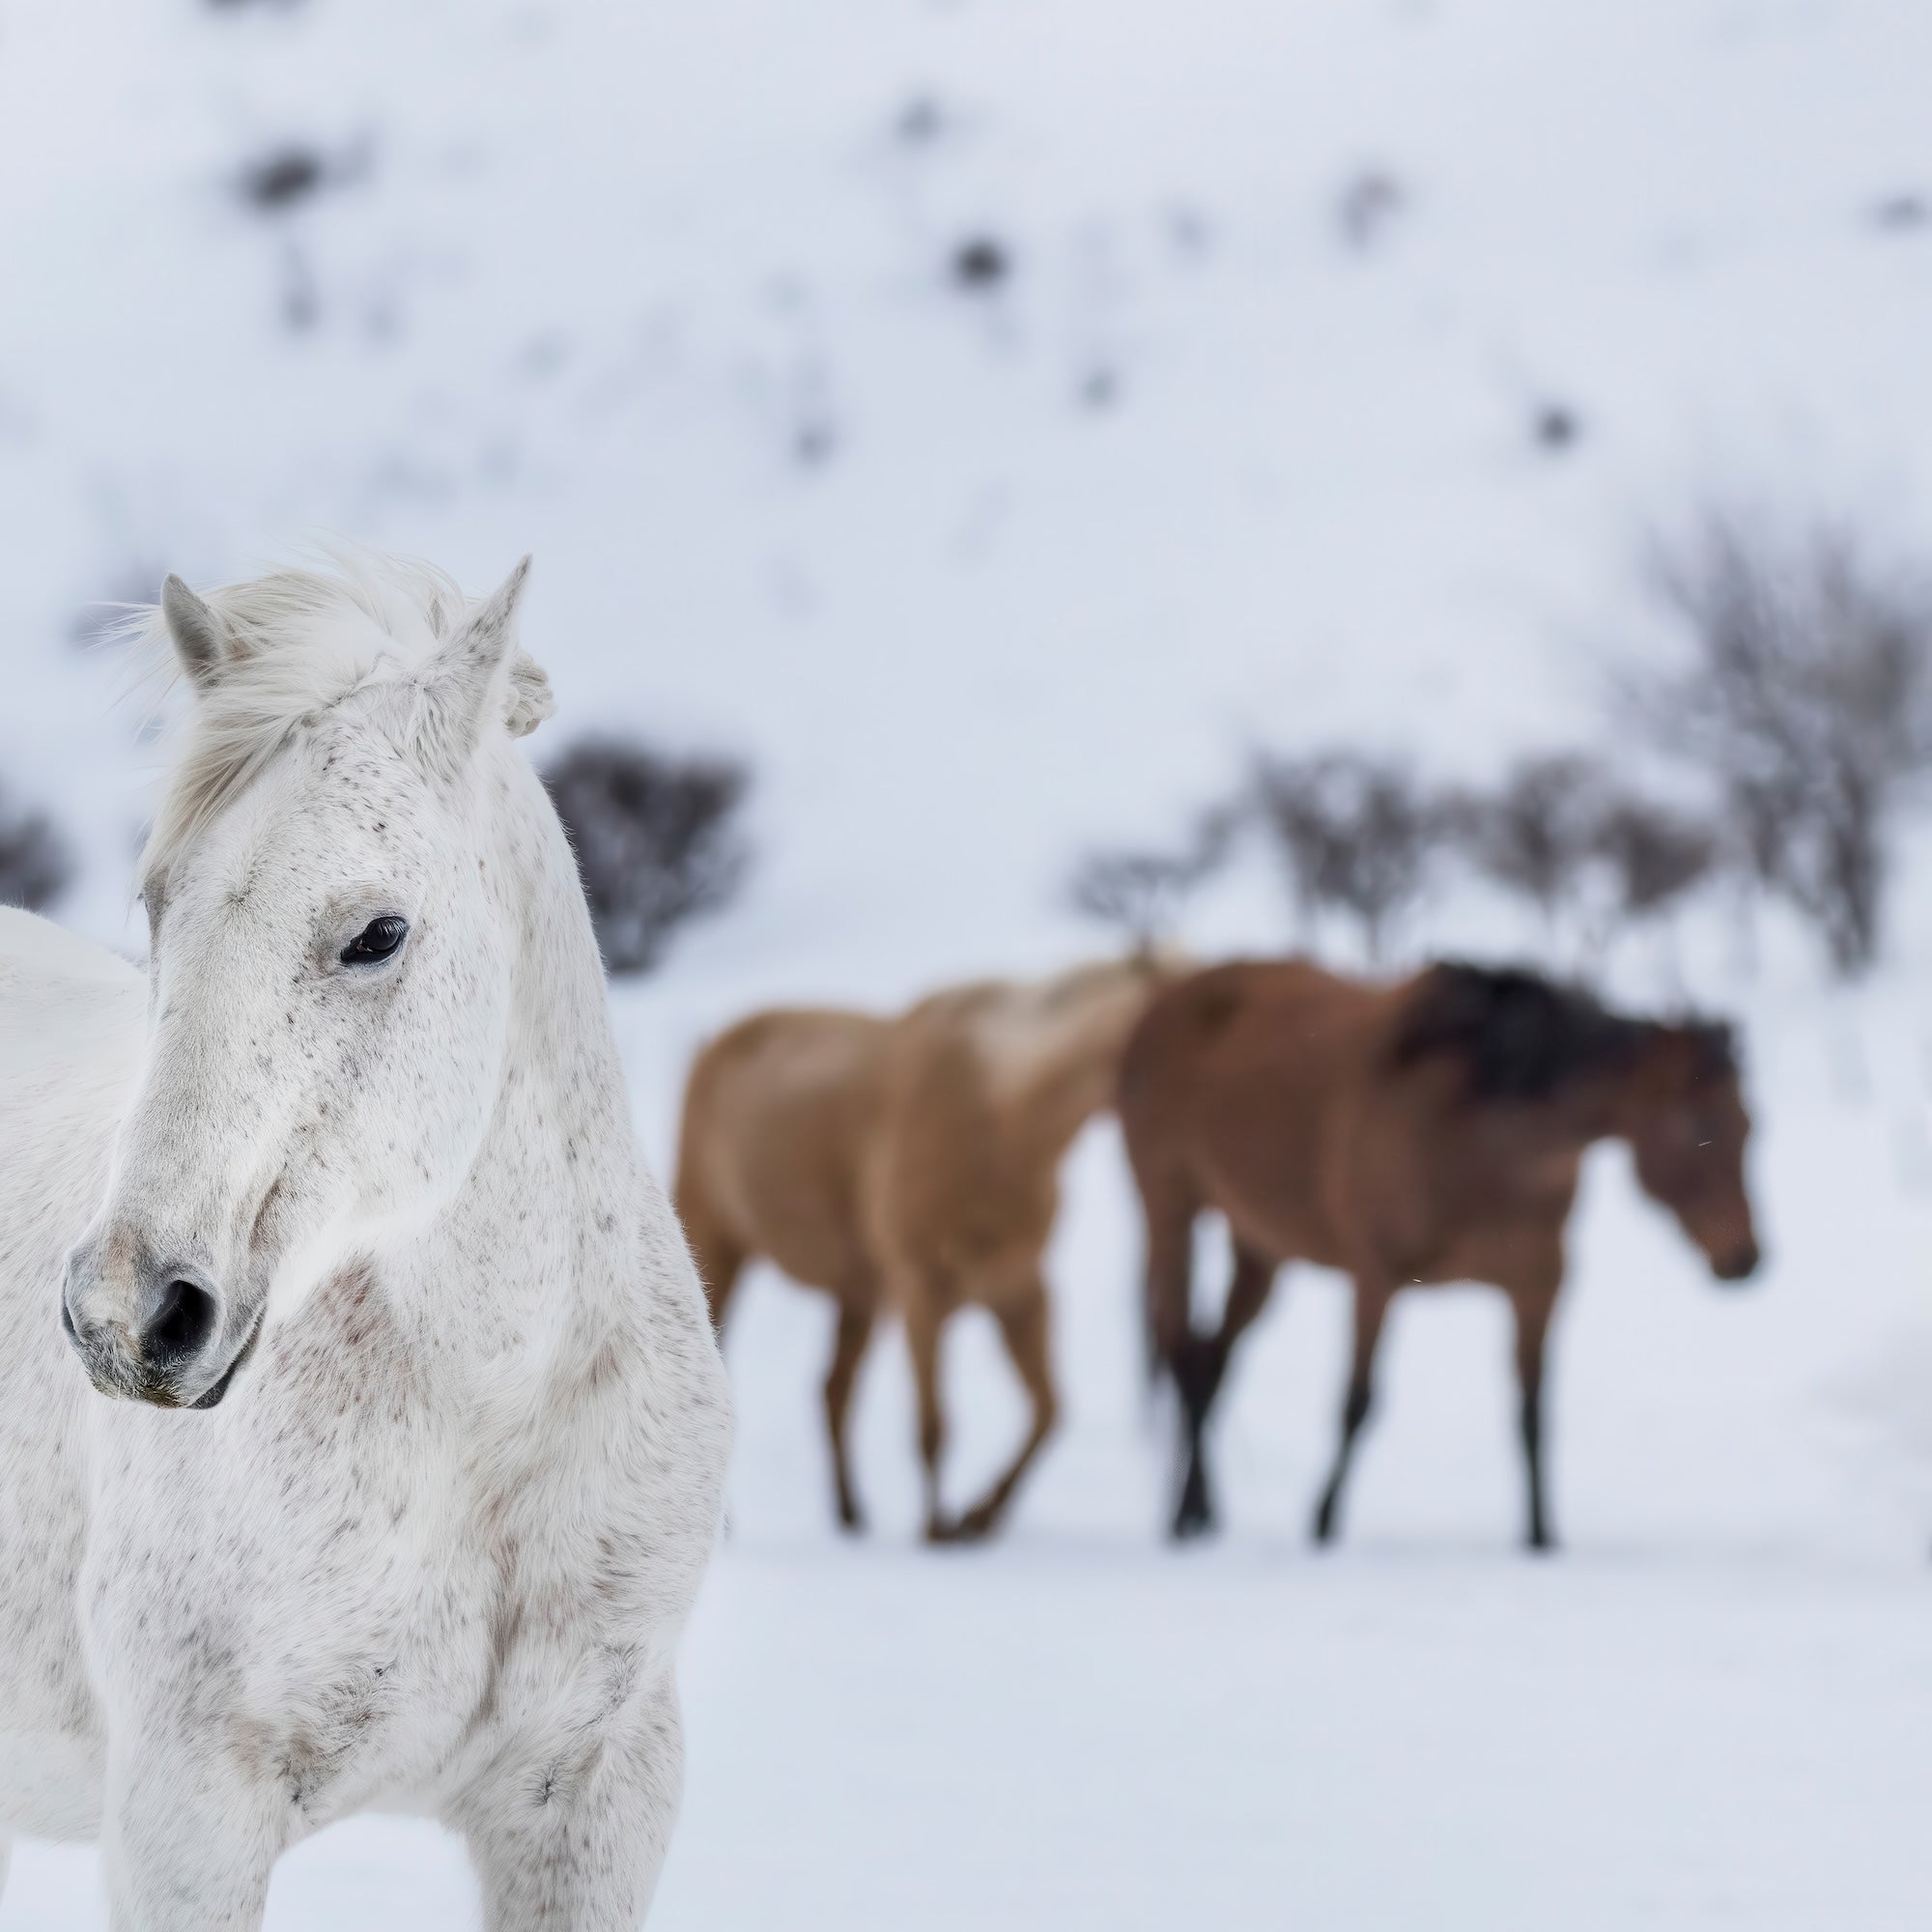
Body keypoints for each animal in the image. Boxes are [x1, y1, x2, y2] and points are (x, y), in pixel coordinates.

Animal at [0, 553, 730, 1927]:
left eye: (378, 932)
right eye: (158, 903)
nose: (127, 1314)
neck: (480, 1419)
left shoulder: (600, 1797)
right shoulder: (187, 1817)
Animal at [677, 956, 1171, 1542]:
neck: (999, 1123)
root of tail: (711, 1043)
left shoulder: (1020, 1293)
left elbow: (1049, 1411)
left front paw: (981, 1516)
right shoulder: (923, 1293)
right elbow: (934, 1426)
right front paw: (937, 1529)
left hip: (859, 1294)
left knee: (834, 1391)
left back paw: (850, 1513)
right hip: (716, 1246)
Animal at [1118, 958, 1760, 1550]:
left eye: (1750, 1125)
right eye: (1694, 1124)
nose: (1749, 1258)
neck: (1481, 1139)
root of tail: (1161, 1000)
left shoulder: (1539, 1285)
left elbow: (1533, 1414)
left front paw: (1540, 1537)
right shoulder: (1375, 1277)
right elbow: (1357, 1402)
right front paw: (1323, 1524)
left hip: (1258, 1244)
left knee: (1213, 1361)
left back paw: (1204, 1511)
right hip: (1170, 1212)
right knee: (1182, 1353)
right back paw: (1183, 1519)